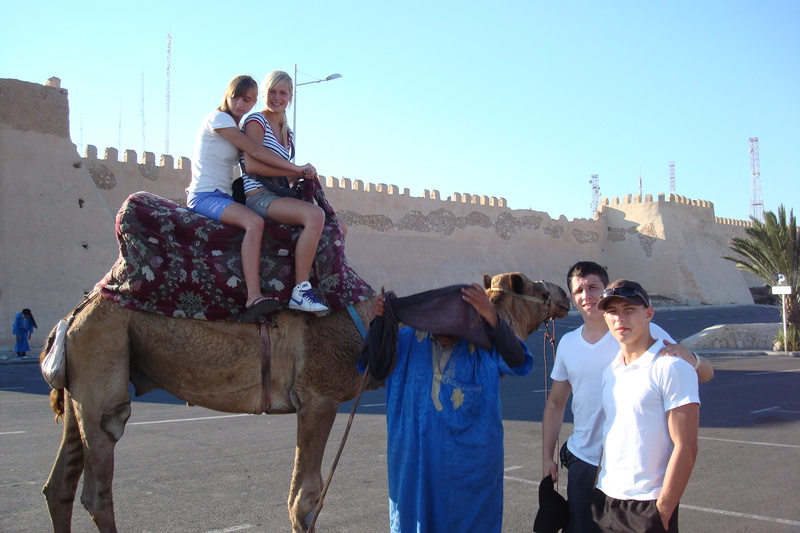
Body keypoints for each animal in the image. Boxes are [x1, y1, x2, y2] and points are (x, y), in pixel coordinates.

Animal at [41, 272, 570, 532]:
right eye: (534, 288)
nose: (564, 292)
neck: (378, 325)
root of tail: (73, 313)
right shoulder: (319, 398)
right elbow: (305, 500)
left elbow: (303, 495)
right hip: (105, 363)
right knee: (97, 487)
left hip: (82, 383)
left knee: (59, 486)